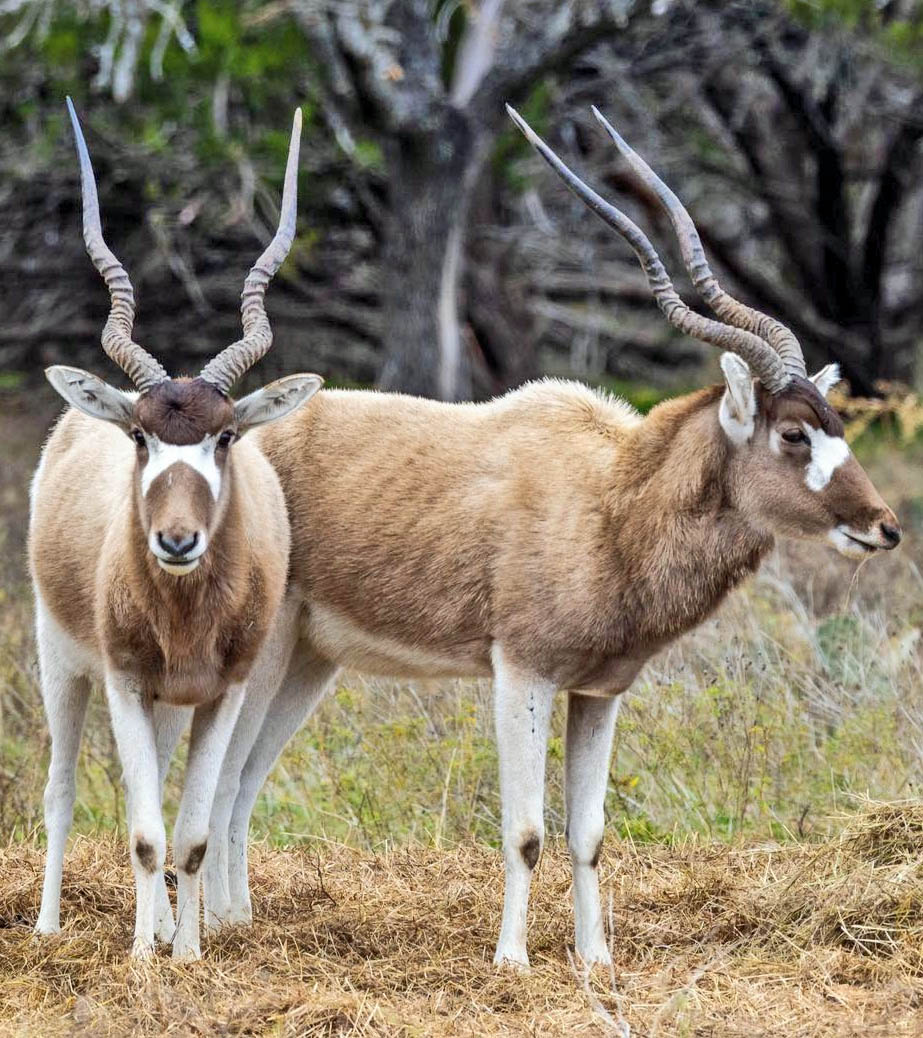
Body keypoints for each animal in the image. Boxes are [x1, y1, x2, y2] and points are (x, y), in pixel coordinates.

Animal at [29, 100, 322, 960]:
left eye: (225, 436)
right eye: (140, 434)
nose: (177, 541)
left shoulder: (220, 692)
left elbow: (186, 835)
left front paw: (186, 950)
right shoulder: (124, 680)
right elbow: (142, 833)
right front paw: (139, 957)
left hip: (168, 703)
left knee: (154, 786)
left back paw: (163, 926)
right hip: (63, 664)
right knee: (63, 791)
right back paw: (50, 927)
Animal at [200, 107, 901, 968]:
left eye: (834, 424)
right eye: (795, 434)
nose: (882, 527)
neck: (613, 499)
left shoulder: (597, 692)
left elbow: (588, 832)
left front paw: (594, 960)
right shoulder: (521, 675)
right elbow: (527, 830)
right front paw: (512, 960)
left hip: (309, 658)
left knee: (244, 775)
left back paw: (237, 922)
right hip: (264, 649)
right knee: (224, 772)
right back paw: (213, 927)